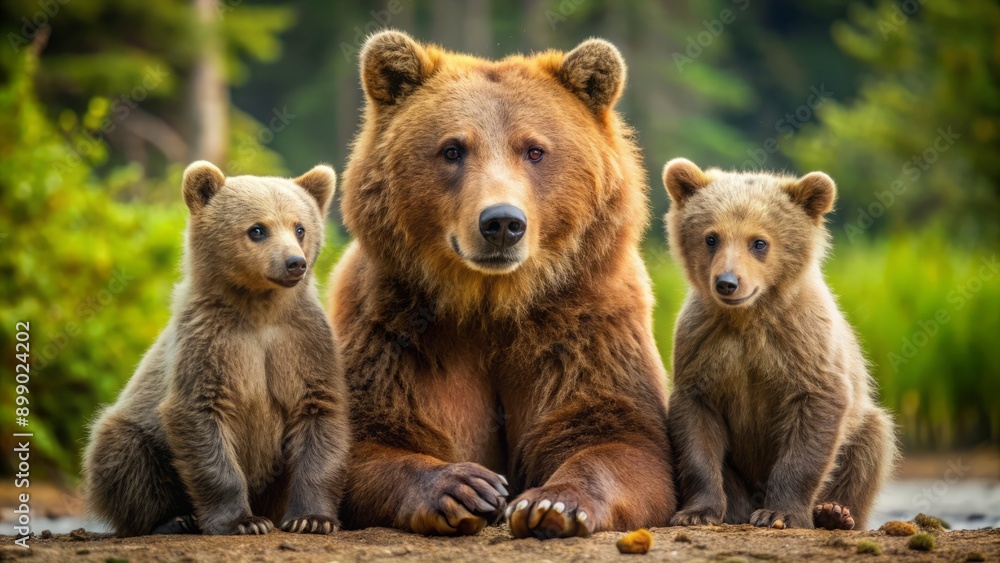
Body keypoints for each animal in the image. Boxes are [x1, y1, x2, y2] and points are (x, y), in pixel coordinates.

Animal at [83, 161, 349, 536]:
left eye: (300, 227)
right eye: (257, 229)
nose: (294, 262)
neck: (258, 311)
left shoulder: (303, 343)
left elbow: (319, 415)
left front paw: (312, 519)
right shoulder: (209, 344)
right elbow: (203, 420)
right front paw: (244, 521)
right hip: (135, 430)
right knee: (123, 455)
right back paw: (174, 519)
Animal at [327, 30, 676, 539]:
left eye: (534, 150)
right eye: (453, 149)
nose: (502, 223)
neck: (492, 301)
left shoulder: (587, 325)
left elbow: (619, 438)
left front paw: (552, 503)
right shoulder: (394, 332)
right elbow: (368, 440)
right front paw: (464, 487)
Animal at [661, 157, 898, 530]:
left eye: (759, 242)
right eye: (711, 238)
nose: (727, 282)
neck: (748, 318)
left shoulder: (802, 343)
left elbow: (816, 414)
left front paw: (779, 513)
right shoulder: (701, 345)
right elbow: (697, 430)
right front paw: (696, 512)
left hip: (861, 425)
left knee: (872, 442)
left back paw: (835, 512)